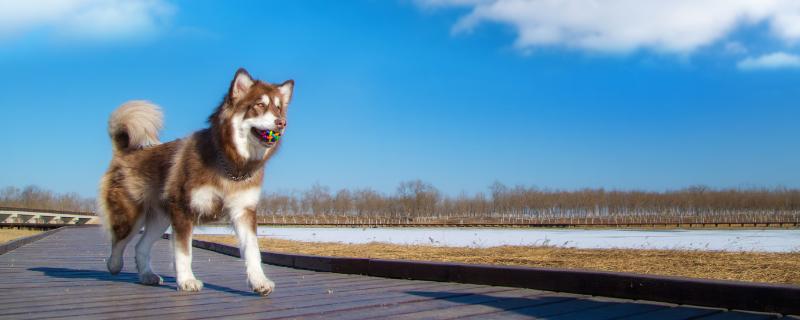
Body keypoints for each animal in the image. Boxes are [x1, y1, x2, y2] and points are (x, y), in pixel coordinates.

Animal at [97, 69, 294, 296]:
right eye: (259, 105)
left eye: (278, 107)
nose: (281, 122)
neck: (231, 165)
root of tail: (125, 152)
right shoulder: (183, 212)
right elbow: (184, 252)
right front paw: (187, 281)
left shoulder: (244, 211)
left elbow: (252, 250)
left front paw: (259, 281)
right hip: (131, 216)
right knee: (119, 243)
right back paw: (114, 265)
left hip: (160, 219)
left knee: (140, 247)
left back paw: (147, 276)